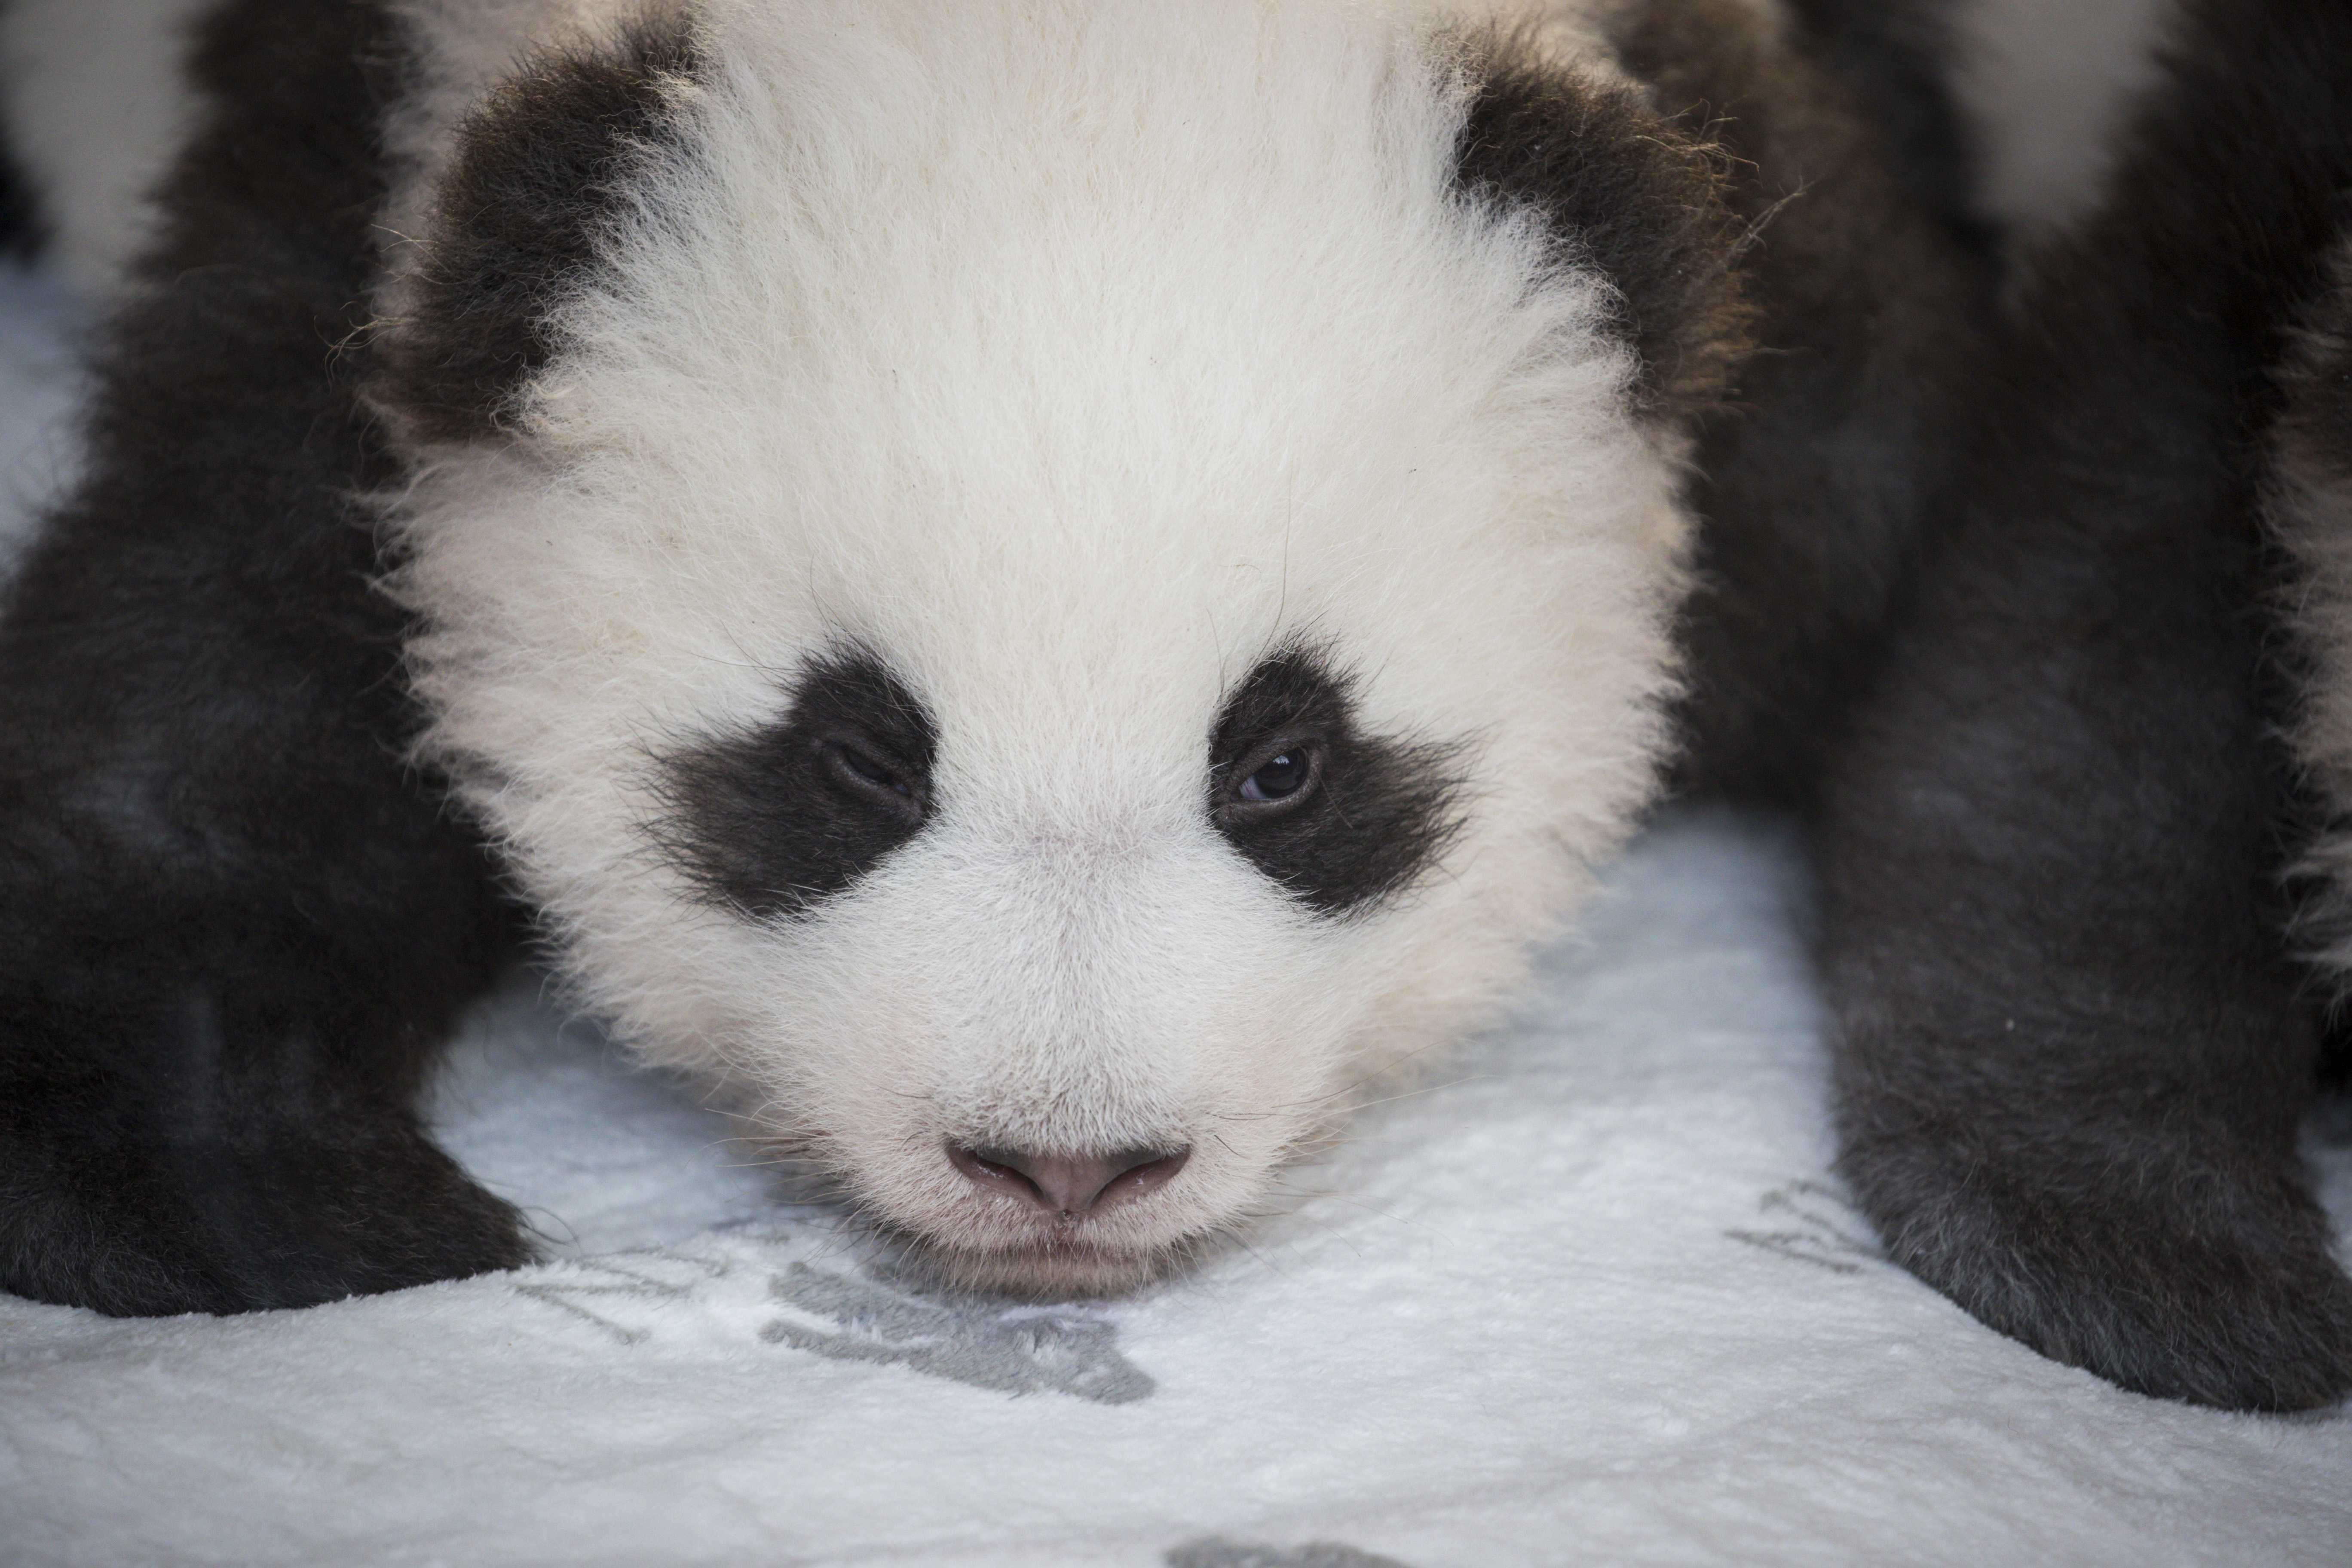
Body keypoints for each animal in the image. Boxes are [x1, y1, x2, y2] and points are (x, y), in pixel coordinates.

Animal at [0, 1, 1978, 1317]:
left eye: (1282, 764)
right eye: (859, 757)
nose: (1068, 1165)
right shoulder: (359, 182)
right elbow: (219, 678)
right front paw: (216, 1192)